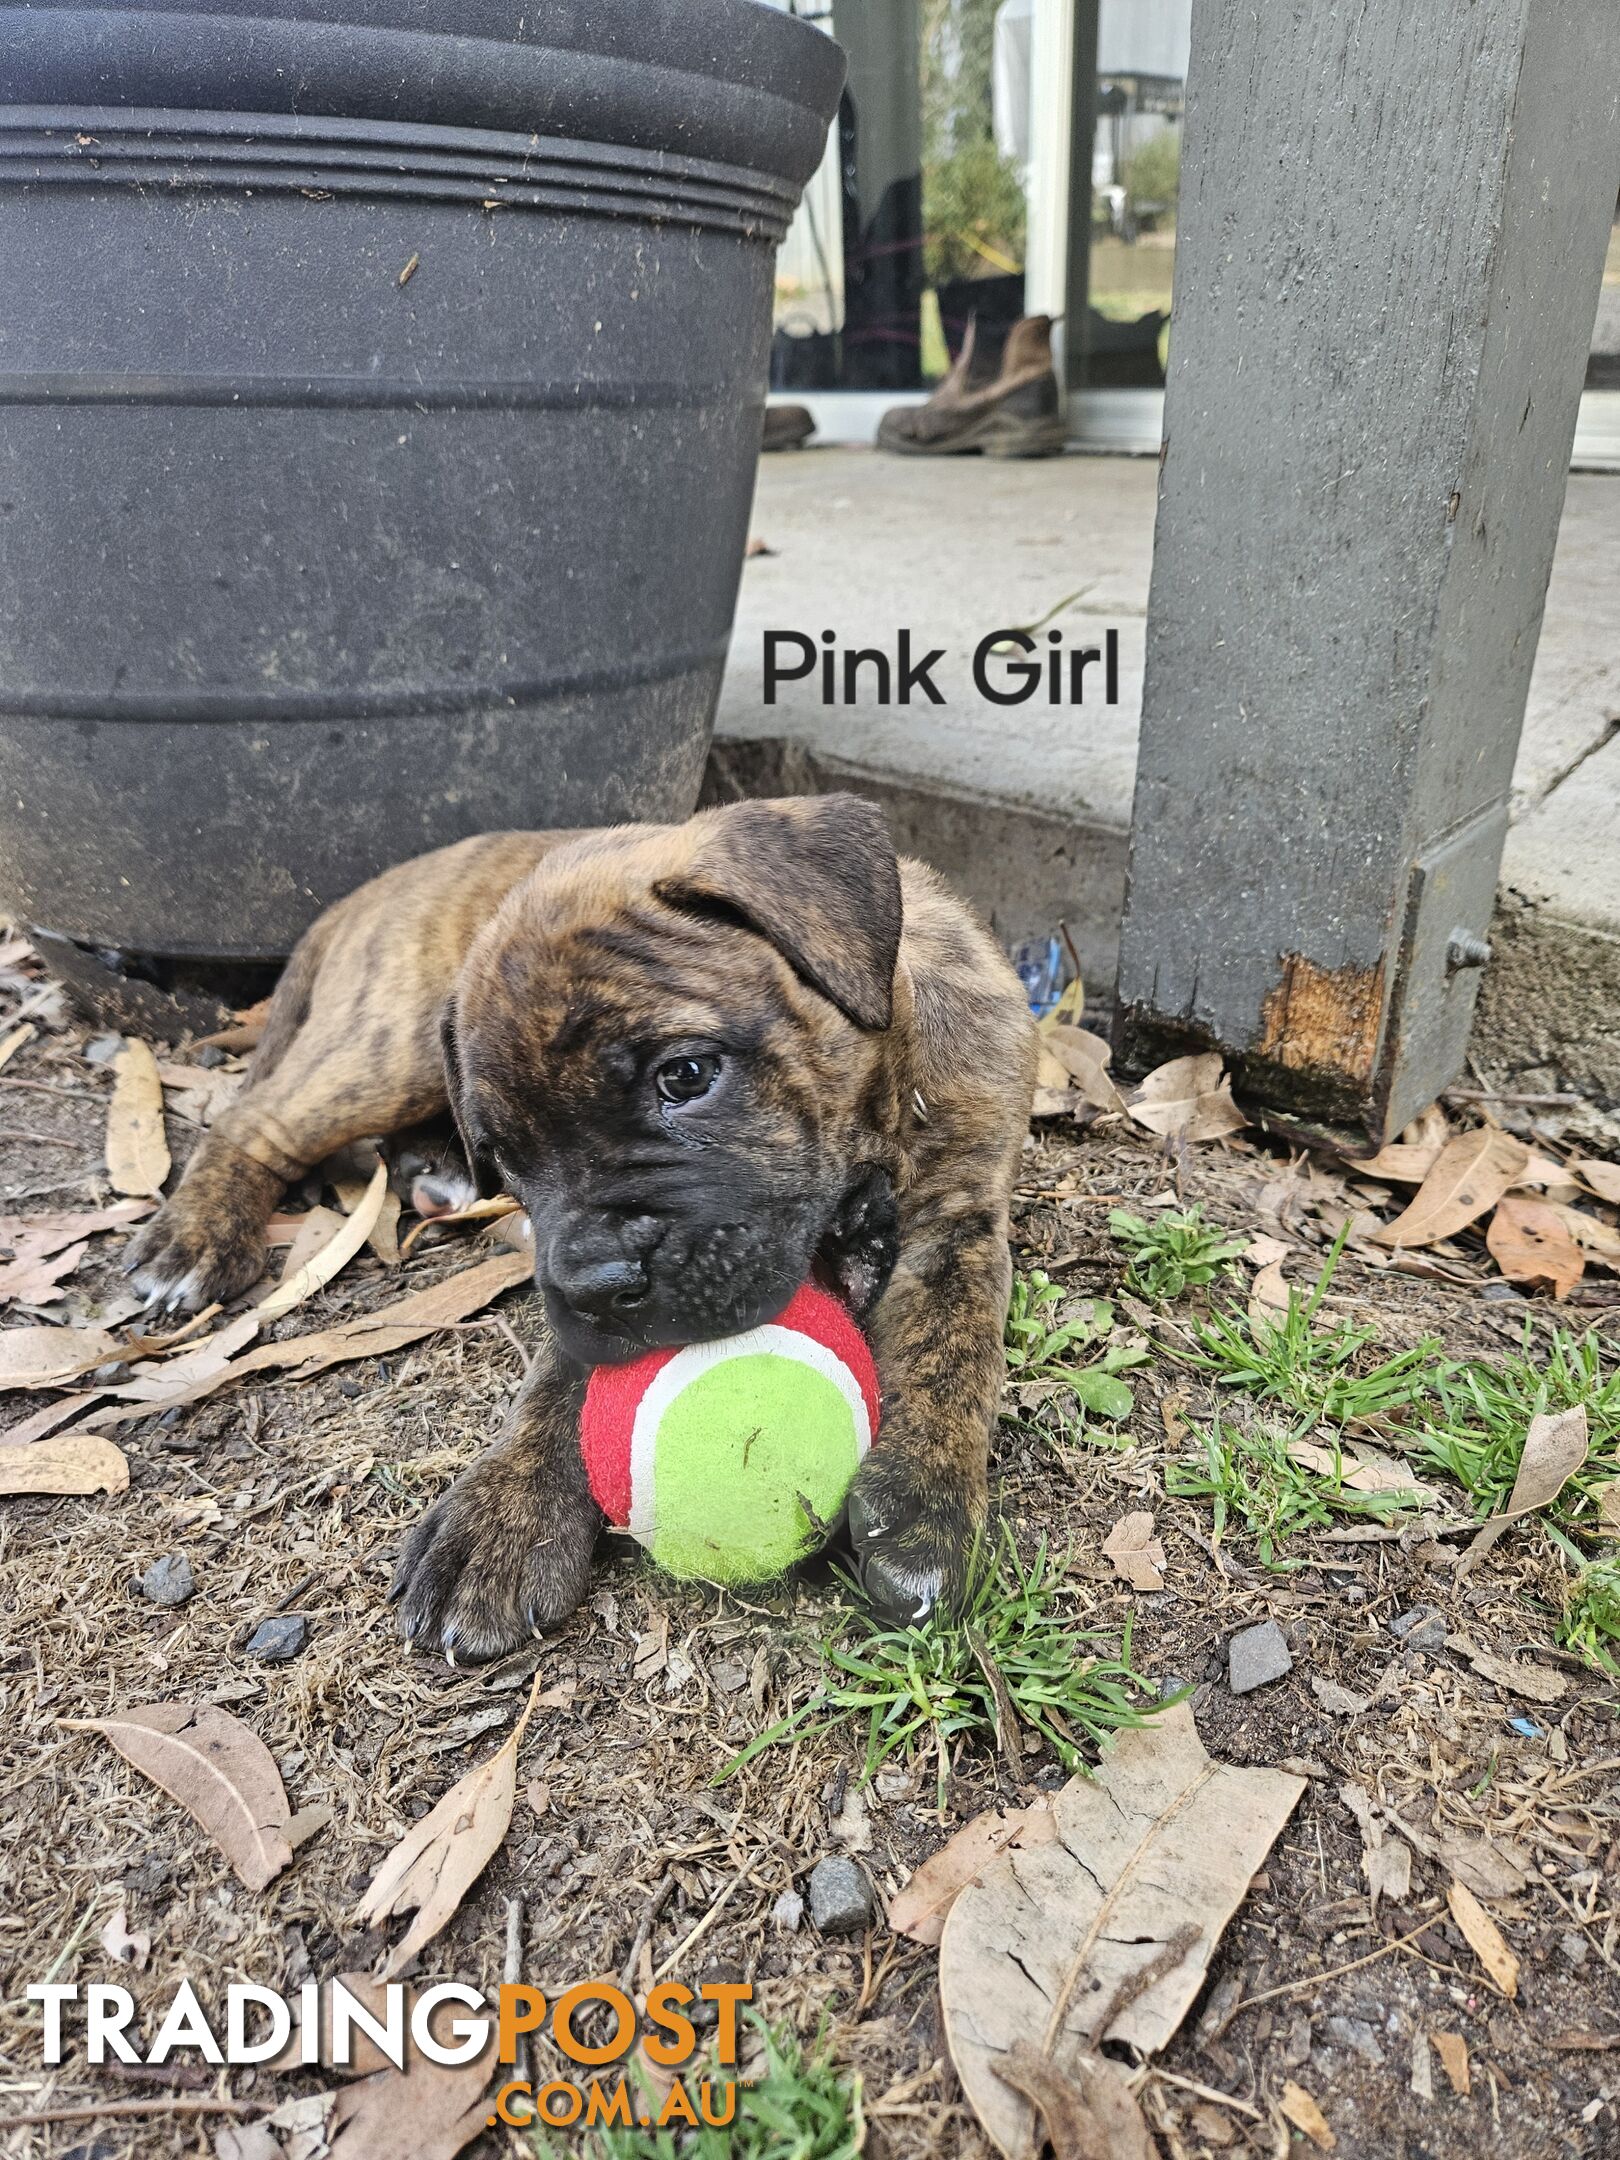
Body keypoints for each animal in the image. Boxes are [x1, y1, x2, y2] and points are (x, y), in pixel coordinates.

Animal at [126, 794, 1041, 1650]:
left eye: (687, 1075)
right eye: (508, 1154)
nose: (601, 1287)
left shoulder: (959, 1221)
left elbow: (953, 1348)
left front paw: (924, 1501)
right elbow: (561, 1376)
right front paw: (503, 1516)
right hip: (393, 1048)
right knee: (254, 1121)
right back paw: (193, 1240)